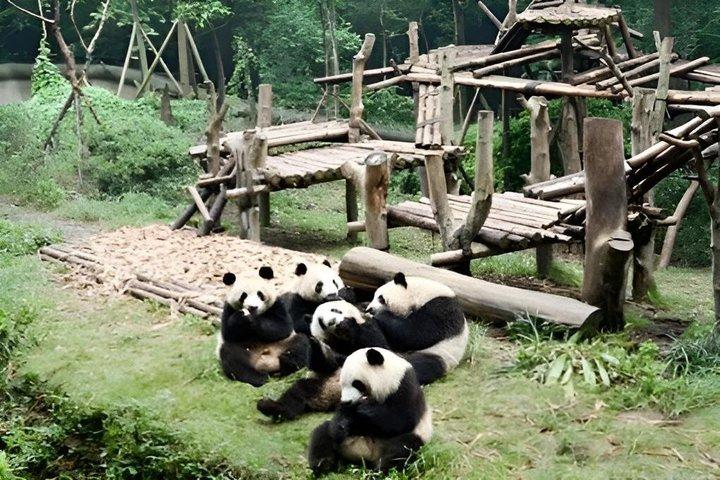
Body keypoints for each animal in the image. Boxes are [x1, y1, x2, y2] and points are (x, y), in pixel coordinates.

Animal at [256, 300, 389, 421]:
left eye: (335, 310)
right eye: (321, 322)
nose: (332, 322)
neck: (342, 338)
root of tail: (332, 398)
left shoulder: (368, 326)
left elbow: (376, 345)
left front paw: (347, 324)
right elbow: (325, 363)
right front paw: (316, 346)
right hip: (320, 382)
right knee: (297, 392)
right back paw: (270, 407)